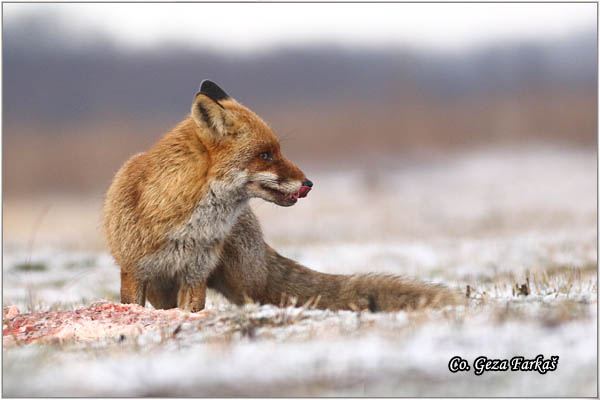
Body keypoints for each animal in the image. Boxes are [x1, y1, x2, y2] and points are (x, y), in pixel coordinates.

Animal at [104, 80, 460, 312]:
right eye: (265, 155)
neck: (186, 225)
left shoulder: (194, 275)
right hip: (163, 289)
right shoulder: (135, 272)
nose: (309, 183)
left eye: (278, 150)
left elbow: (191, 311)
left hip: (241, 282)